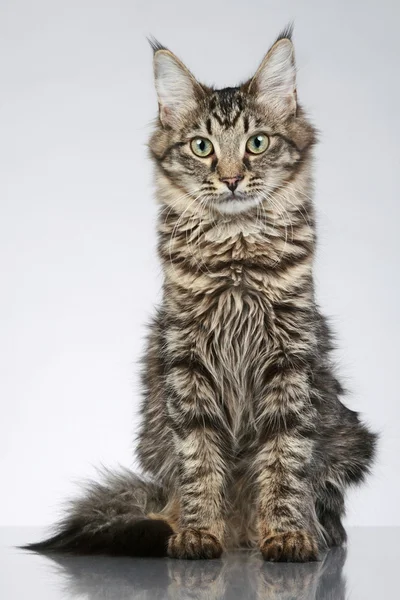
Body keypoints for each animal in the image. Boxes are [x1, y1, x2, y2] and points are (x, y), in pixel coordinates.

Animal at [23, 27, 376, 564]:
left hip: (350, 439)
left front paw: (286, 535)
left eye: (256, 142)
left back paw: (302, 532)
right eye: (202, 146)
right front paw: (197, 533)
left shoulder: (290, 359)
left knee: (326, 502)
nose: (230, 178)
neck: (235, 255)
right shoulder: (186, 361)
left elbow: (284, 461)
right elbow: (200, 461)